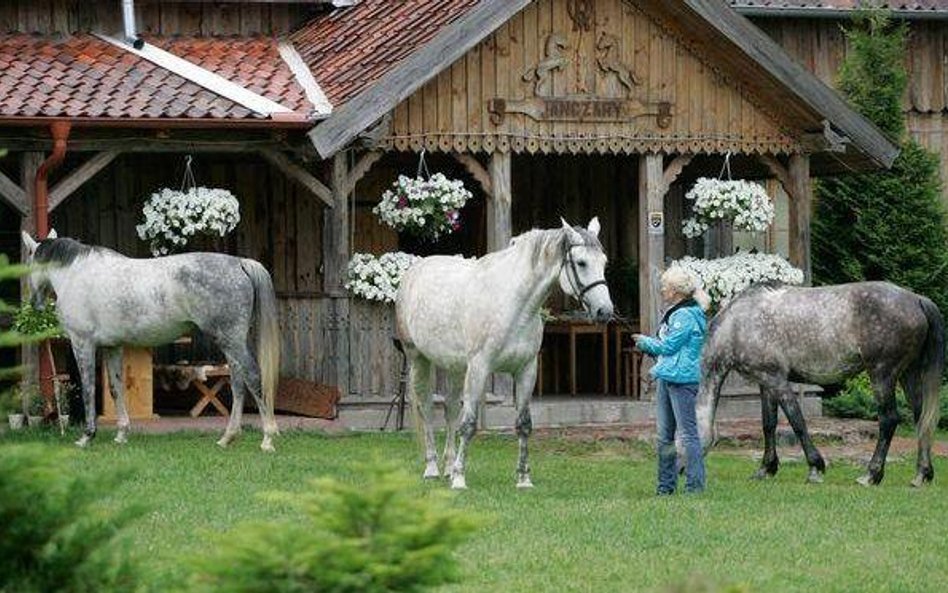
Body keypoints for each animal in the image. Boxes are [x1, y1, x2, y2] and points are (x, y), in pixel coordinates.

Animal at [21, 230, 282, 448]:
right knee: (238, 383)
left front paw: (87, 436)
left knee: (252, 377)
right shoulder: (112, 347)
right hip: (231, 342)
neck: (76, 274)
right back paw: (227, 437)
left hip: (231, 341)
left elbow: (88, 389)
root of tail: (239, 263)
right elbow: (116, 388)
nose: (35, 303)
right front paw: (121, 434)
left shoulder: (82, 344)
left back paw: (267, 439)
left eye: (28, 262)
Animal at [394, 220, 612, 488]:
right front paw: (460, 479)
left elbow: (524, 424)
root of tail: (414, 270)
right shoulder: (479, 368)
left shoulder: (527, 370)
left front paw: (524, 479)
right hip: (419, 360)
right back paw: (433, 469)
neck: (513, 304)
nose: (605, 312)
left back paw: (448, 467)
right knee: (425, 408)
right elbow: (469, 425)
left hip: (455, 367)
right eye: (581, 263)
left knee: (450, 408)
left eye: (604, 262)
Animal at [696, 282, 940, 486]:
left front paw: (815, 468)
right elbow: (768, 425)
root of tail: (917, 299)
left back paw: (871, 475)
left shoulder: (777, 380)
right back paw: (921, 474)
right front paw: (765, 469)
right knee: (921, 419)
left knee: (889, 420)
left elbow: (797, 421)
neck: (738, 323)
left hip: (882, 375)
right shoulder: (765, 383)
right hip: (907, 374)